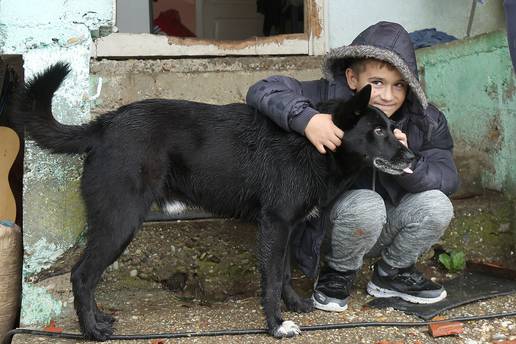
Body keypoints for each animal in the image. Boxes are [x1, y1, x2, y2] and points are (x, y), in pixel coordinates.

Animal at [14, 63, 416, 340]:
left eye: (393, 128)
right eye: (377, 130)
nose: (411, 156)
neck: (311, 145)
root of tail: (104, 125)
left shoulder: (286, 226)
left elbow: (285, 273)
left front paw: (296, 306)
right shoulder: (275, 225)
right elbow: (271, 279)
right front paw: (276, 325)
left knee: (87, 275)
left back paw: (98, 319)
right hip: (120, 222)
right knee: (82, 274)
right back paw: (92, 331)